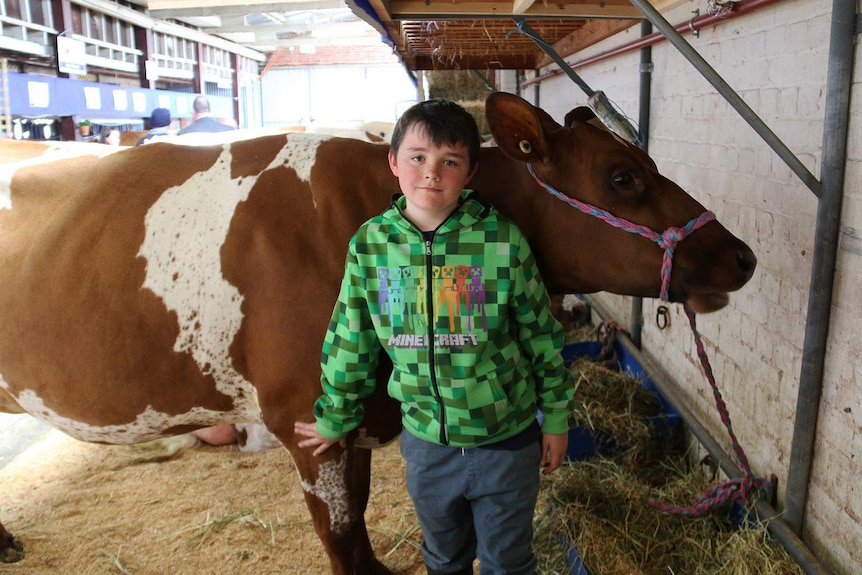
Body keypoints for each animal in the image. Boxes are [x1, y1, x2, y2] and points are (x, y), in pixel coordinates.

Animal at [0, 93, 756, 572]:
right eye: (622, 176)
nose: (743, 255)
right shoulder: (305, 418)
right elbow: (343, 540)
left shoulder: (356, 415)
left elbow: (362, 527)